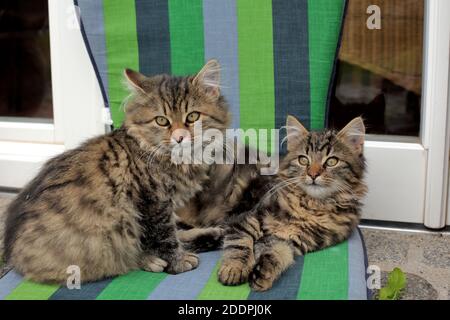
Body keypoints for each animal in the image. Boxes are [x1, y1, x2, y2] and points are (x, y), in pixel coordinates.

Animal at [2, 59, 229, 282]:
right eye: (162, 120)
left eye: (193, 117)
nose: (180, 137)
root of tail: (12, 252)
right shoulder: (153, 202)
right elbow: (164, 237)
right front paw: (178, 262)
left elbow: (171, 231)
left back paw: (213, 235)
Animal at [216, 116, 368, 292]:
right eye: (303, 160)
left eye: (331, 161)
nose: (313, 174)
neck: (311, 206)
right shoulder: (246, 218)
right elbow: (240, 245)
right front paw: (234, 269)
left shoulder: (294, 240)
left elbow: (279, 253)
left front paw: (264, 273)